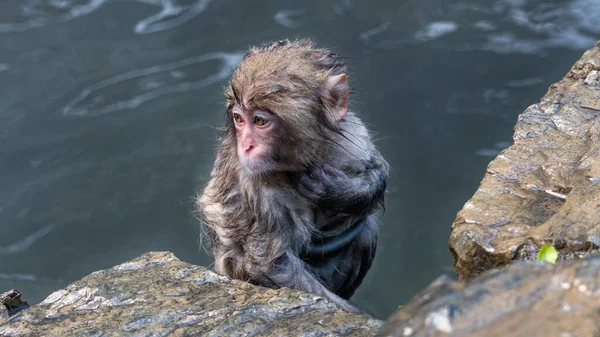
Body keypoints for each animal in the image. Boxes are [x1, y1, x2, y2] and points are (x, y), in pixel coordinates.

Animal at [198, 38, 390, 312]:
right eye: (238, 119)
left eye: (259, 121)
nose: (246, 145)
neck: (297, 161)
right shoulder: (254, 185)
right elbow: (273, 266)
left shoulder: (353, 135)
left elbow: (377, 169)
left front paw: (334, 190)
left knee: (365, 231)